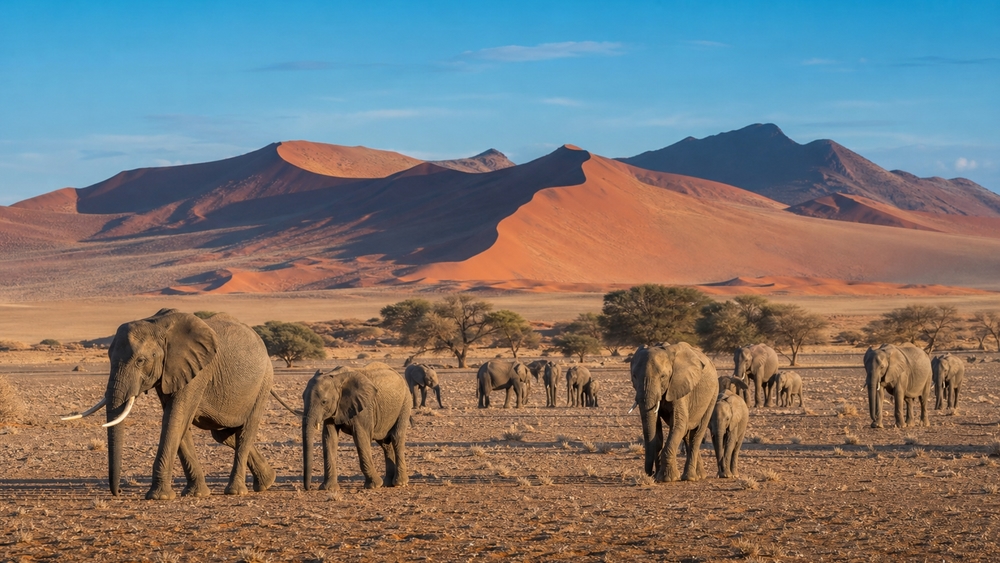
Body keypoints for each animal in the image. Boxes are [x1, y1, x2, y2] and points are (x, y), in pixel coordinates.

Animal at [61, 309, 276, 500]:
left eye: (140, 361)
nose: (119, 491)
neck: (157, 325)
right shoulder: (170, 372)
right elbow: (178, 421)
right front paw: (196, 494)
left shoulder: (198, 371)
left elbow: (175, 417)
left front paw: (159, 496)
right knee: (224, 434)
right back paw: (267, 481)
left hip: (263, 383)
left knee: (245, 433)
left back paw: (236, 491)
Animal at [302, 362, 410, 491]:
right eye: (302, 397)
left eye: (324, 402)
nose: (309, 488)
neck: (335, 377)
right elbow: (329, 438)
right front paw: (328, 488)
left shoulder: (364, 408)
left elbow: (360, 437)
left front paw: (374, 485)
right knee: (385, 444)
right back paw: (388, 483)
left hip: (405, 403)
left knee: (396, 438)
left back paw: (400, 483)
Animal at [630, 342, 719, 482]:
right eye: (634, 376)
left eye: (663, 376)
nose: (651, 473)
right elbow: (655, 429)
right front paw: (658, 476)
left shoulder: (679, 385)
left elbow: (679, 425)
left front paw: (667, 478)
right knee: (687, 435)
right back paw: (699, 475)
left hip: (713, 395)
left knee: (696, 434)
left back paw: (690, 477)